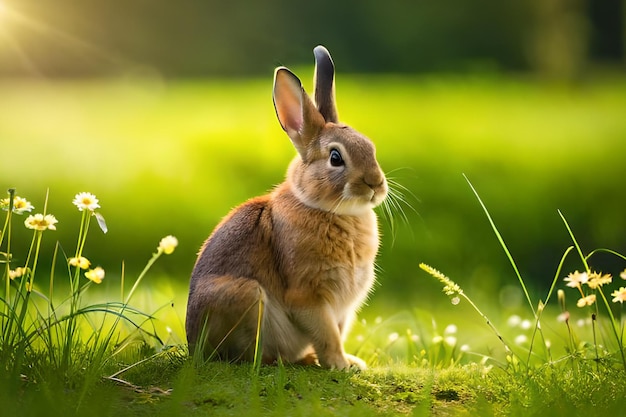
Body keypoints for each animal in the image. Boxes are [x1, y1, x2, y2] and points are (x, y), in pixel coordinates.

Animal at [184, 46, 386, 370]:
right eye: (335, 158)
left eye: (370, 147)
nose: (376, 184)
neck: (328, 210)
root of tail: (193, 347)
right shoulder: (308, 297)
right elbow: (327, 334)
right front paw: (340, 365)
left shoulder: (341, 308)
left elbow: (336, 332)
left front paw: (350, 363)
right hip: (246, 296)